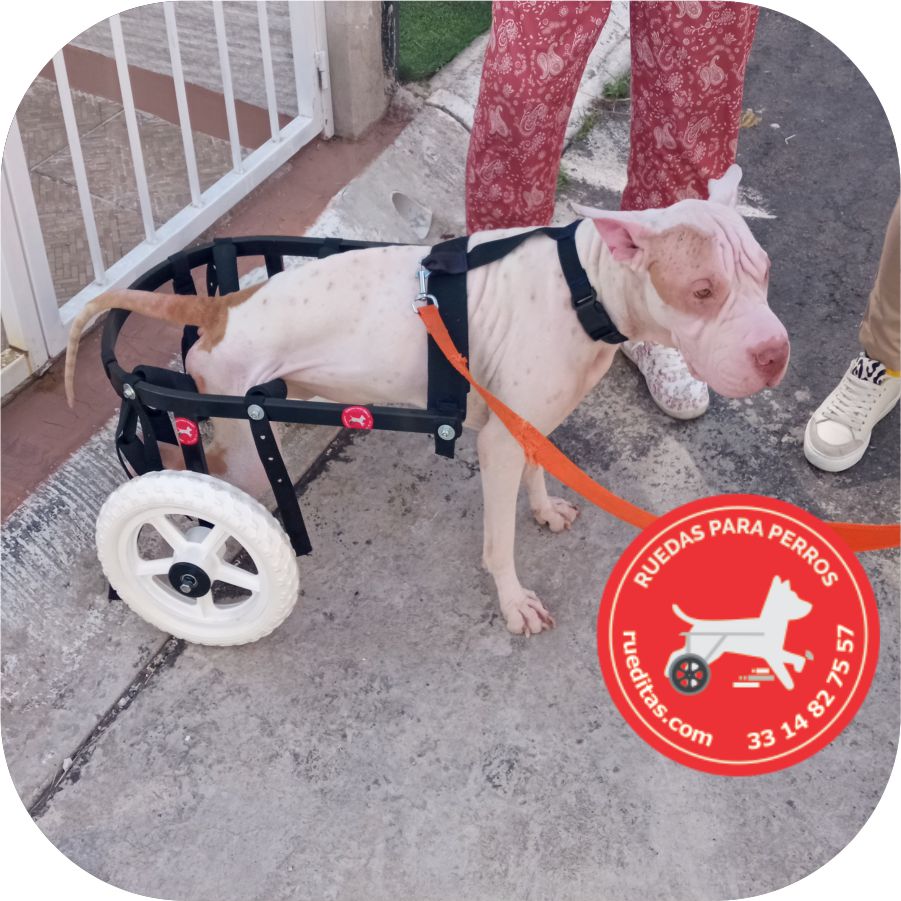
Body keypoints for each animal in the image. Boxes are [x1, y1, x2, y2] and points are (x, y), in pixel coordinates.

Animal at [66, 165, 789, 636]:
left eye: (763, 271)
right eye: (701, 290)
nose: (775, 353)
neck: (584, 286)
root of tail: (219, 307)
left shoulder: (528, 423)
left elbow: (536, 473)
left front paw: (543, 507)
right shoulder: (497, 443)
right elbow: (499, 541)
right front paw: (512, 601)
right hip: (239, 443)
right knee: (187, 495)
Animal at [665, 575, 813, 689]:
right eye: (794, 598)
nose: (811, 605)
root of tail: (699, 623)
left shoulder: (777, 652)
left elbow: (796, 657)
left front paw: (799, 667)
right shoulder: (772, 655)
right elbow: (784, 671)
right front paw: (790, 684)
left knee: (681, 656)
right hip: (702, 649)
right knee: (679, 655)